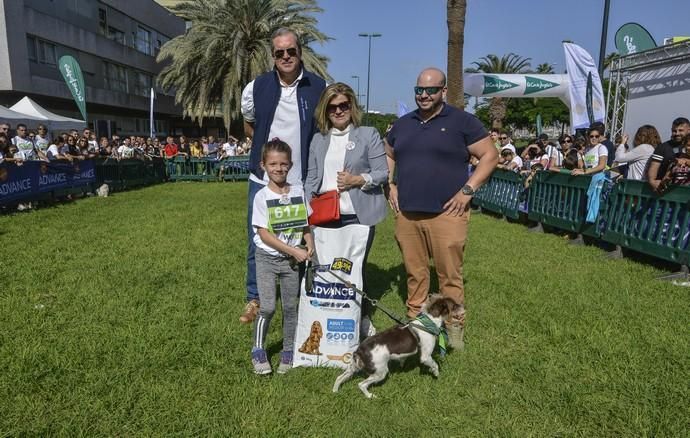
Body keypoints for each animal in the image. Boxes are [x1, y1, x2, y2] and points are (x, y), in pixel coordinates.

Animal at [334, 296, 462, 398]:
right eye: (454, 305)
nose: (462, 306)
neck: (428, 323)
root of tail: (360, 350)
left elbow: (403, 359)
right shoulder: (425, 356)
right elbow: (435, 365)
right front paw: (436, 374)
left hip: (353, 367)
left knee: (339, 378)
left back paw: (335, 391)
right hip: (380, 371)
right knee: (361, 384)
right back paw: (370, 396)